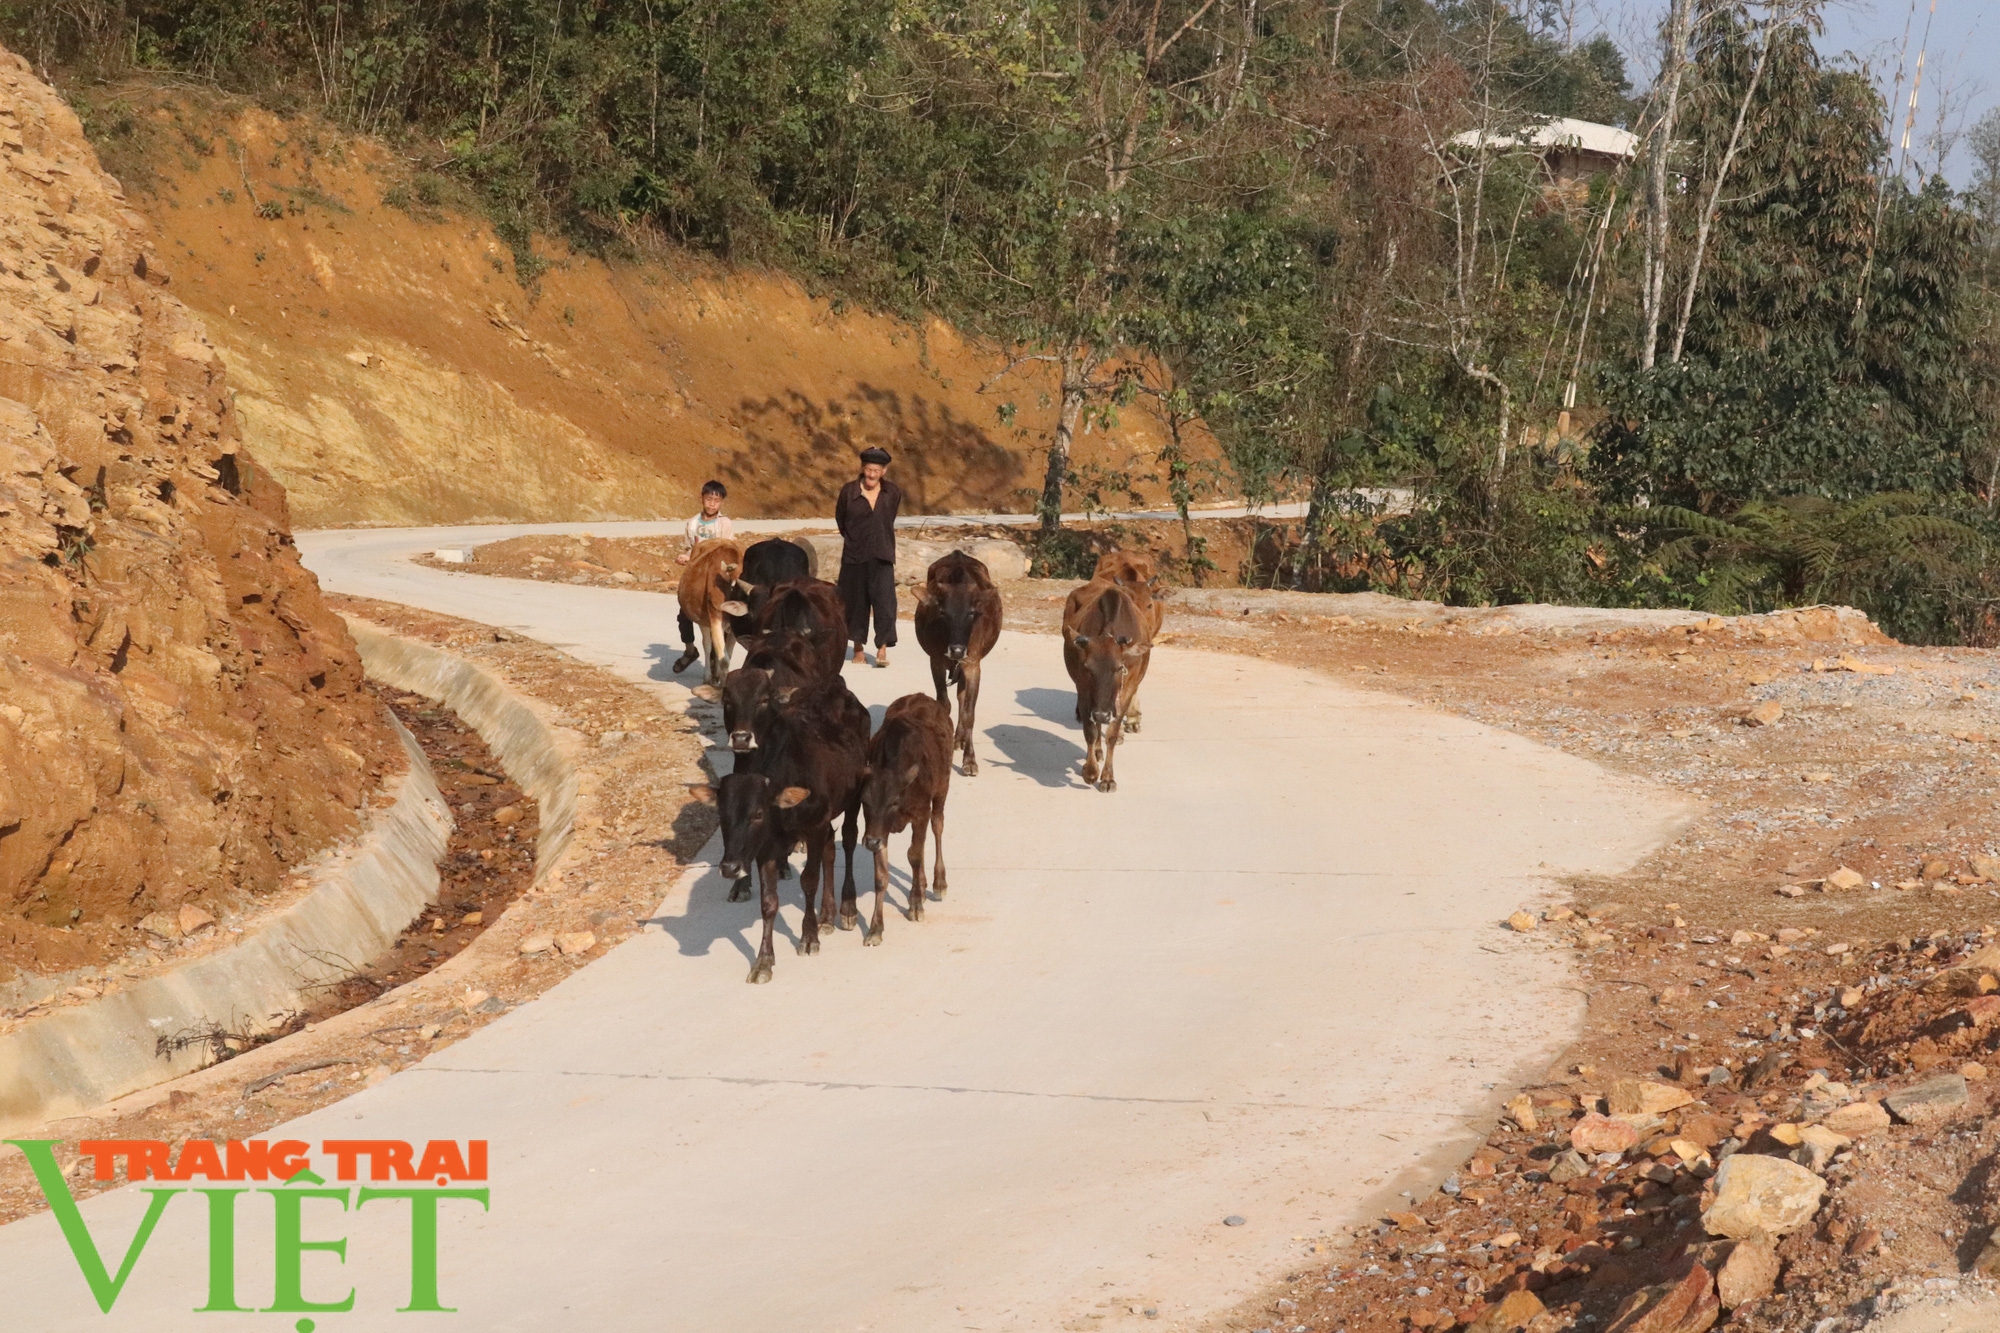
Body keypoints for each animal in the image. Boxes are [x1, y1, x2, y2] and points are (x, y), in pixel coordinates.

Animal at [680, 536, 756, 684]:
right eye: (738, 585)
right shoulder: (714, 616)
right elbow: (724, 658)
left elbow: (728, 655)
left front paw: (723, 679)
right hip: (703, 620)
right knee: (707, 644)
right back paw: (708, 676)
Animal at [860, 688, 952, 940]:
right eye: (864, 801)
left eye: (892, 802)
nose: (870, 842)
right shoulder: (879, 831)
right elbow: (881, 876)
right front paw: (875, 928)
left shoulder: (920, 815)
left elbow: (915, 856)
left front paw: (915, 905)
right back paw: (922, 885)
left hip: (942, 791)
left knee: (938, 827)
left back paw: (938, 883)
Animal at [912, 548, 1000, 772]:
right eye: (943, 612)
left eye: (971, 612)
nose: (958, 650)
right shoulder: (936, 661)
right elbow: (944, 704)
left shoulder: (973, 665)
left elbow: (969, 712)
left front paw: (969, 760)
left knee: (962, 697)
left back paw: (960, 739)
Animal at [1064, 580, 1160, 788]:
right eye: (1087, 668)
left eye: (1118, 668)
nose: (1101, 713)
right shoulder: (1083, 689)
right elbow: (1090, 731)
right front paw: (1090, 771)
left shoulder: (1127, 689)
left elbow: (1112, 733)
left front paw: (1108, 778)